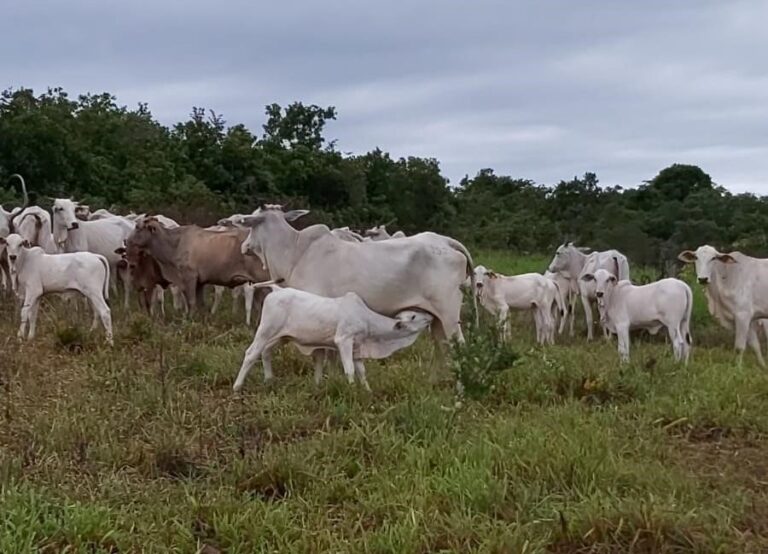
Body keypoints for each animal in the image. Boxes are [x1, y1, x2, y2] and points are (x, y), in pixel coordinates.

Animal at [127, 215, 270, 310]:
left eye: (138, 227)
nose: (127, 240)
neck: (175, 244)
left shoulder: (189, 277)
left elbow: (191, 302)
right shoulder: (200, 282)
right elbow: (200, 304)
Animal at [231, 282, 436, 390]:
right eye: (414, 316)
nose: (431, 316)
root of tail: (277, 289)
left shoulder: (357, 347)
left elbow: (362, 371)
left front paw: (367, 391)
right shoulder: (343, 340)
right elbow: (350, 369)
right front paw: (352, 390)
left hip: (281, 336)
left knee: (265, 352)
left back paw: (269, 380)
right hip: (265, 330)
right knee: (251, 353)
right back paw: (237, 386)